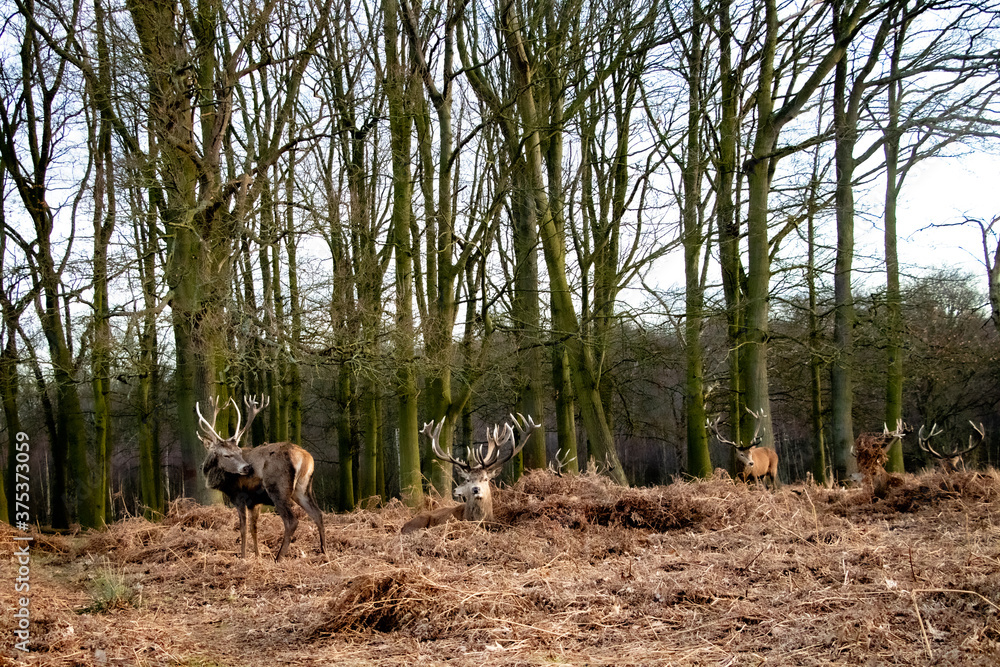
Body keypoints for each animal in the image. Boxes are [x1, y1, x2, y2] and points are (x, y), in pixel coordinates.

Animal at [198, 395, 327, 560]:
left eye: (238, 451)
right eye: (226, 455)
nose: (247, 468)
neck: (224, 483)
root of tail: (305, 458)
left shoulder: (239, 496)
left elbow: (243, 528)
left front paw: (243, 557)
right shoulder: (254, 501)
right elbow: (254, 528)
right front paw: (258, 555)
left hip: (278, 488)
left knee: (291, 521)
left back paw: (278, 558)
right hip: (303, 488)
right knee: (317, 514)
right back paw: (325, 553)